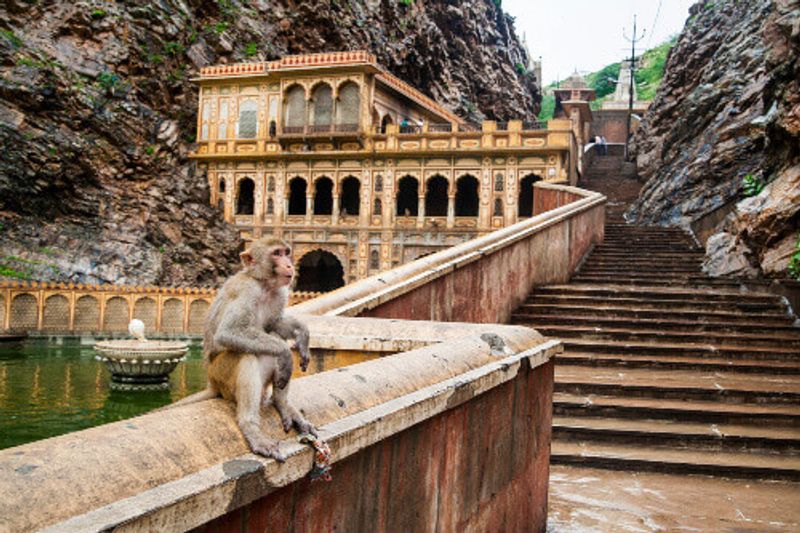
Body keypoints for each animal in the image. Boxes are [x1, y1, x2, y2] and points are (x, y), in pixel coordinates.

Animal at [169, 235, 316, 460]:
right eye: (276, 253)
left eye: (286, 252)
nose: (289, 264)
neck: (264, 285)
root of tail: (212, 383)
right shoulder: (247, 291)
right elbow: (228, 332)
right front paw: (286, 355)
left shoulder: (280, 293)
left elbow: (275, 325)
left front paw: (303, 334)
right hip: (221, 375)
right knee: (247, 355)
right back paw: (251, 428)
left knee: (273, 337)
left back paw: (281, 403)